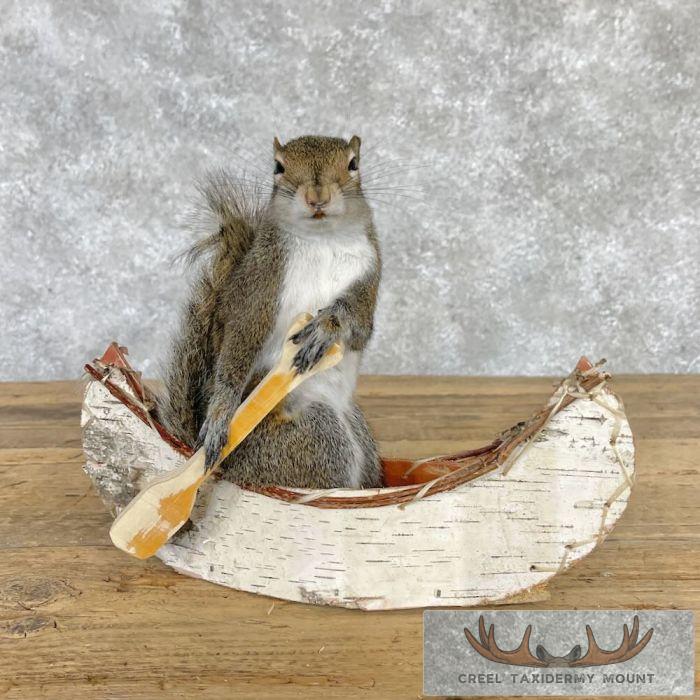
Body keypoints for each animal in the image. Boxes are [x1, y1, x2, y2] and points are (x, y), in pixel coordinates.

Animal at [158, 134, 383, 489]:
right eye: (278, 167)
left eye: (353, 164)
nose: (317, 198)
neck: (323, 240)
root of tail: (227, 471)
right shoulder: (261, 282)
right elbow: (241, 337)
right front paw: (220, 413)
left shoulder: (369, 273)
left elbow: (359, 326)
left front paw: (327, 327)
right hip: (316, 432)